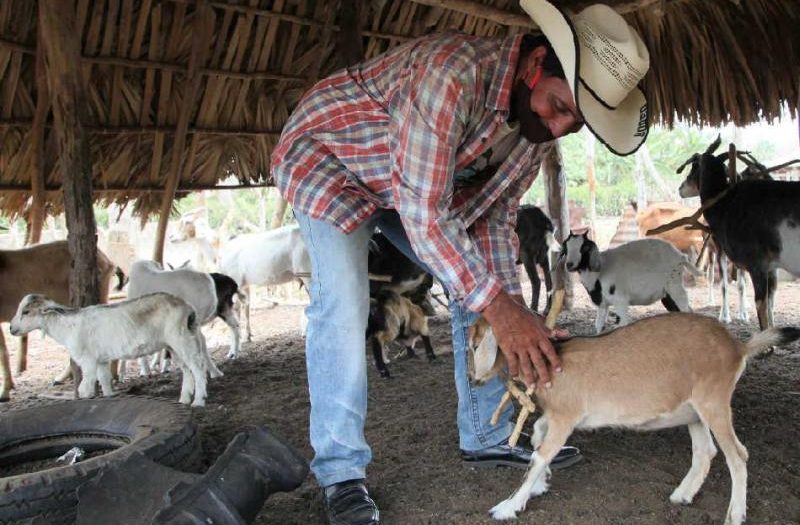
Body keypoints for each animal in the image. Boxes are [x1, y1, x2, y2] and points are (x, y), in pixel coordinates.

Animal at [10, 292, 222, 408]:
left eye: (26, 312)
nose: (12, 329)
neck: (68, 326)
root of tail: (188, 309)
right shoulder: (101, 360)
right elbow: (104, 380)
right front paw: (110, 397)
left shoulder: (87, 360)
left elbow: (85, 386)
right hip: (174, 345)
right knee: (186, 369)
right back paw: (184, 398)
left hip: (181, 339)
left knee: (197, 368)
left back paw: (198, 401)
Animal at [468, 314, 800, 520]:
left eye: (474, 343)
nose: (472, 379)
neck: (554, 359)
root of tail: (738, 347)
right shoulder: (558, 416)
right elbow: (538, 436)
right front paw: (541, 484)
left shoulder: (566, 416)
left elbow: (539, 455)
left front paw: (508, 507)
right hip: (693, 411)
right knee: (706, 451)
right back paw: (682, 495)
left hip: (714, 402)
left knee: (738, 455)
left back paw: (735, 514)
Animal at [564, 233, 700, 332]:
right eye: (566, 247)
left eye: (584, 247)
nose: (569, 264)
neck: (599, 273)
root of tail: (681, 257)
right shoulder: (602, 304)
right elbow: (599, 326)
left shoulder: (620, 300)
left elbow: (623, 323)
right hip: (667, 294)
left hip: (675, 285)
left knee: (685, 308)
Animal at [676, 137, 800, 330]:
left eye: (694, 166)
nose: (681, 188)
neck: (726, 204)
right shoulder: (770, 267)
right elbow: (769, 302)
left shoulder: (758, 265)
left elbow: (761, 305)